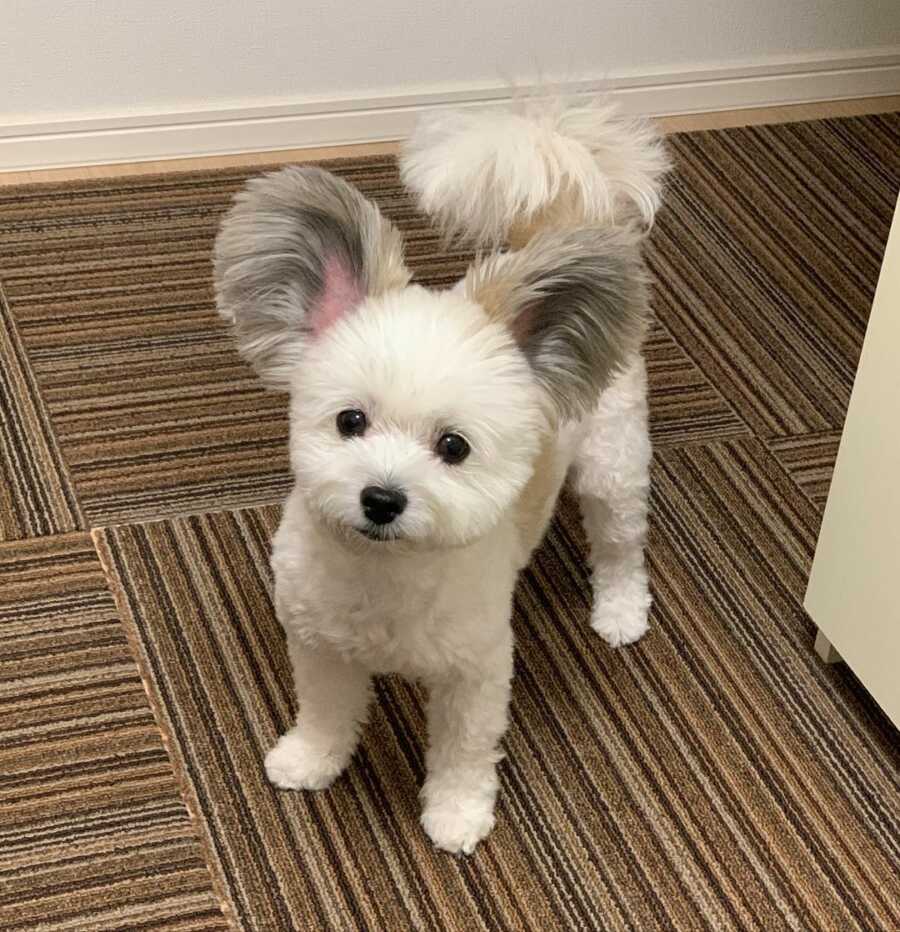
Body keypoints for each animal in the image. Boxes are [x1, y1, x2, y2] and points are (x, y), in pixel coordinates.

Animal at [213, 98, 668, 856]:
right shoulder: (320, 646)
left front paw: (456, 813)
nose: (382, 498)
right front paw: (311, 760)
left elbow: (463, 750)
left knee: (619, 545)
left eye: (453, 447)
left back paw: (621, 610)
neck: (383, 573)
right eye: (351, 421)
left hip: (613, 464)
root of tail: (561, 221)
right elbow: (326, 713)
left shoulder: (475, 671)